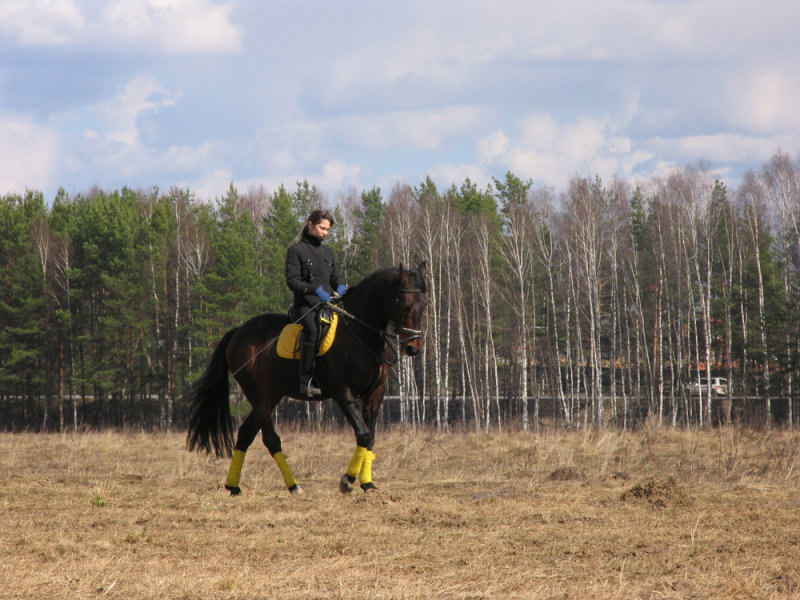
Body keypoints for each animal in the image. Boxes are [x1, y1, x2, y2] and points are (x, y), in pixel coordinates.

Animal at [185, 264, 428, 494]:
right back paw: (294, 486)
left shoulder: (375, 393)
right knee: (270, 439)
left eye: (425, 305)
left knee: (245, 434)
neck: (360, 334)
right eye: (404, 305)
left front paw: (367, 483)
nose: (413, 348)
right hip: (258, 394)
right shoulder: (342, 392)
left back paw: (233, 487)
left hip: (271, 395)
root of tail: (238, 332)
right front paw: (347, 481)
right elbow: (363, 434)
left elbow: (371, 438)